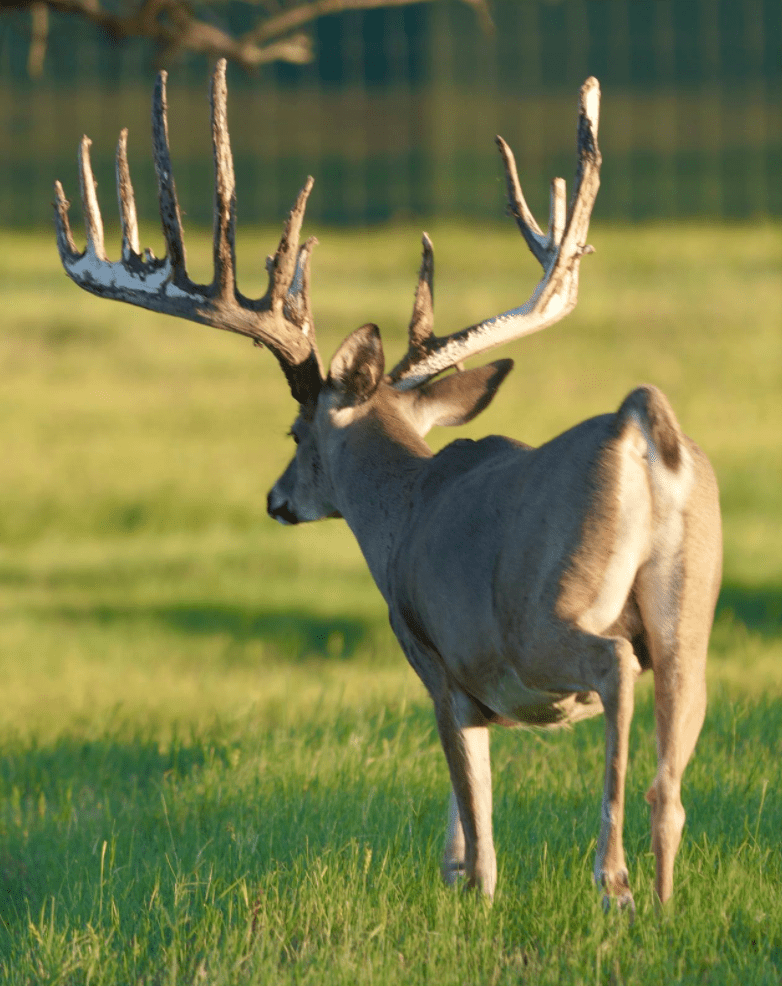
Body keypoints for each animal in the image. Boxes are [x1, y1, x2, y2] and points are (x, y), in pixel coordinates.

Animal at [54, 61, 722, 912]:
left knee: (615, 667)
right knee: (672, 766)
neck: (405, 508)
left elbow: (477, 820)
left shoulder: (437, 661)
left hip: (544, 610)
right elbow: (460, 824)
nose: (274, 499)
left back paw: (615, 882)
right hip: (691, 611)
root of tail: (644, 423)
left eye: (295, 433)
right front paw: (453, 879)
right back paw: (661, 901)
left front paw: (478, 901)